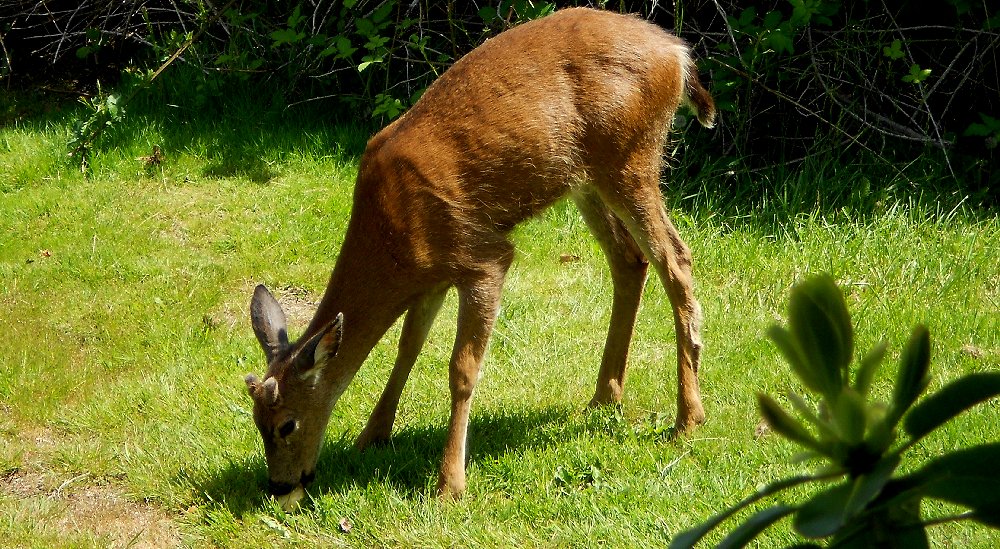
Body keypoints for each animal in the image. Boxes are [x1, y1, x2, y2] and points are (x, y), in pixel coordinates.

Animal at [243, 6, 716, 510]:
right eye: (256, 423)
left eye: (287, 424)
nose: (279, 487)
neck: (391, 235)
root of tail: (678, 53)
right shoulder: (430, 274)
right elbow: (407, 349)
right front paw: (371, 436)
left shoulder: (482, 257)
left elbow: (462, 369)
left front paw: (449, 482)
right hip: (586, 178)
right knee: (629, 260)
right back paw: (605, 397)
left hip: (630, 158)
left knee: (676, 260)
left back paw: (688, 418)